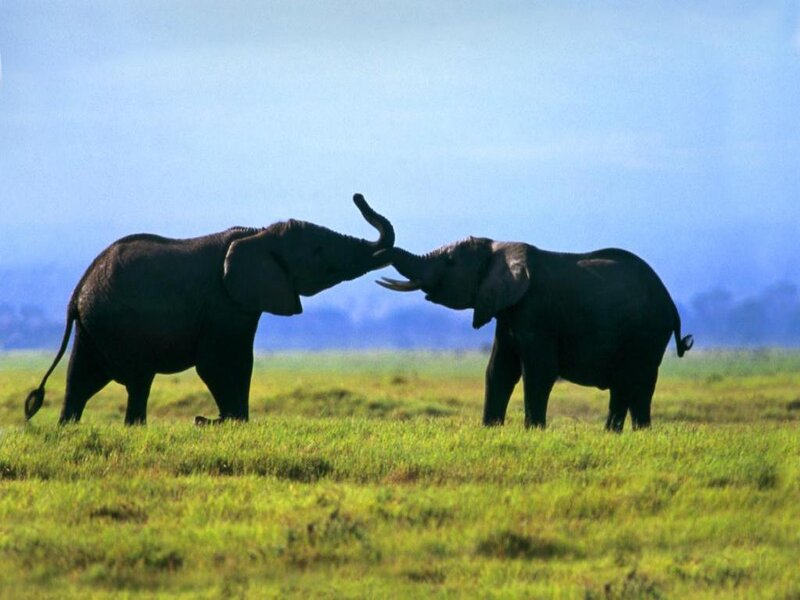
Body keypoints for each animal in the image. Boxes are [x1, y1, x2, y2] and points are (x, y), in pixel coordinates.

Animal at [25, 194, 394, 425]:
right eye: (319, 253)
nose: (358, 196)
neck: (259, 233)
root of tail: (77, 293)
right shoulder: (223, 304)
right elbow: (223, 363)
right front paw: (232, 423)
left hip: (95, 326)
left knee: (81, 379)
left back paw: (67, 430)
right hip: (118, 323)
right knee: (138, 379)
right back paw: (134, 428)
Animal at [378, 237, 693, 431]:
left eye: (450, 261)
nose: (376, 253)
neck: (498, 247)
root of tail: (672, 306)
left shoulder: (537, 312)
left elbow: (538, 372)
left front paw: (533, 431)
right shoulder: (506, 314)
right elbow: (498, 370)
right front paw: (489, 429)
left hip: (645, 333)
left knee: (629, 381)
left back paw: (613, 434)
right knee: (638, 386)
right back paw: (638, 433)